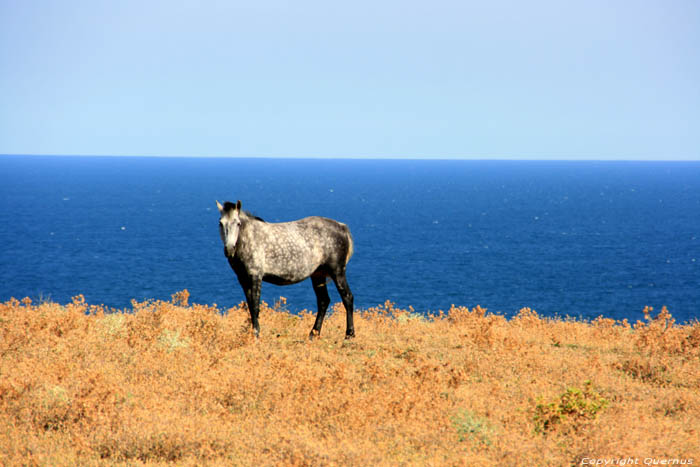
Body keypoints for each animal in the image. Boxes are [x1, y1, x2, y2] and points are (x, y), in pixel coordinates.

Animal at [215, 201, 356, 340]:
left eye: (238, 223)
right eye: (220, 223)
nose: (229, 249)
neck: (249, 238)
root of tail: (342, 227)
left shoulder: (255, 276)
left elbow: (255, 306)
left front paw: (256, 335)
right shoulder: (243, 278)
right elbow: (250, 306)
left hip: (337, 271)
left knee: (347, 297)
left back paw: (349, 334)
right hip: (318, 274)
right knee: (323, 301)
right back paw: (313, 334)